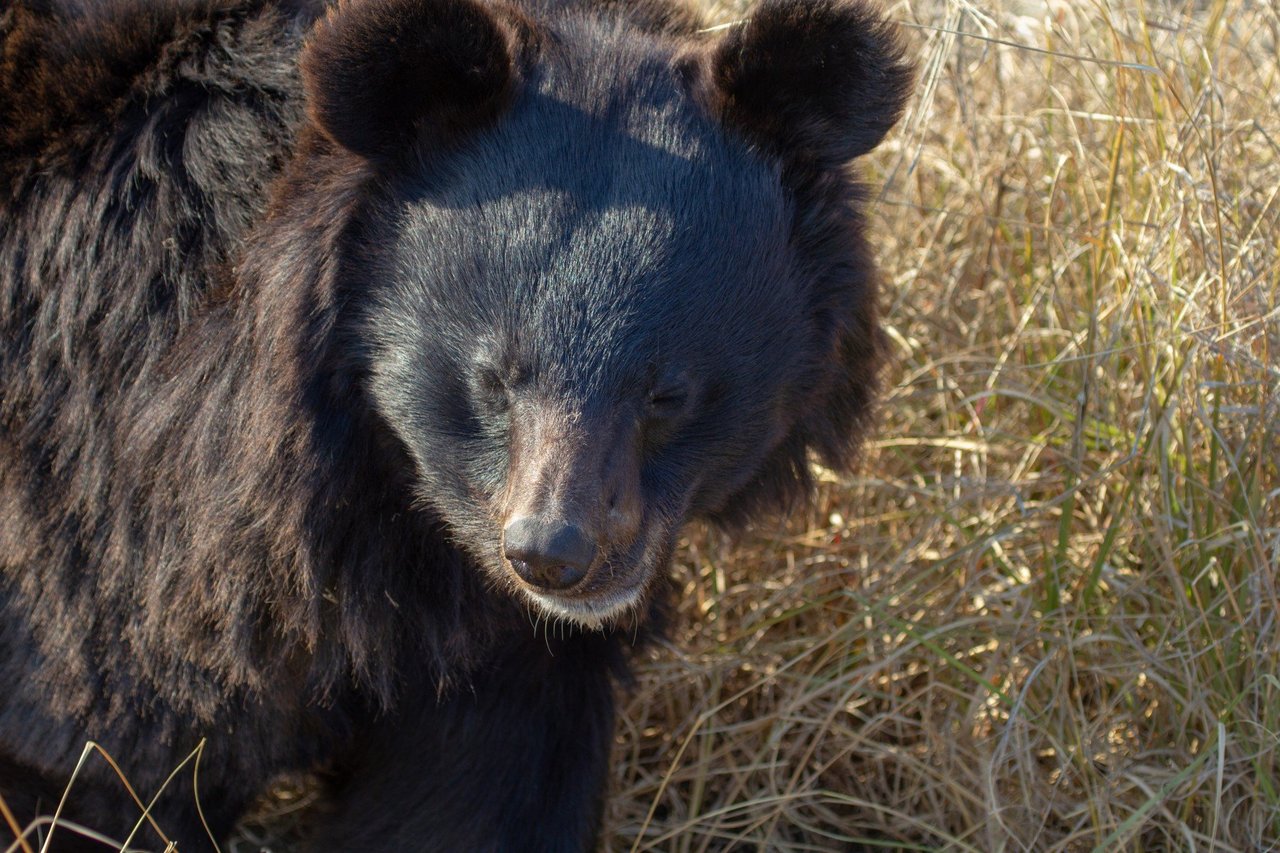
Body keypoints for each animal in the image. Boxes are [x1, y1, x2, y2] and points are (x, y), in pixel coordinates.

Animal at [5, 0, 916, 845]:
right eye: (493, 380)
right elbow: (106, 751)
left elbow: (481, 791)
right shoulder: (110, 537)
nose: (553, 555)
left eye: (666, 393)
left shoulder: (512, 659)